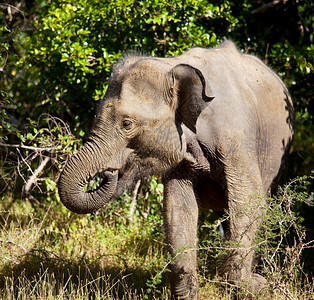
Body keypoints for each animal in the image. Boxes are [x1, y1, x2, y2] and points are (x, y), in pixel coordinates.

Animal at [58, 40, 294, 300]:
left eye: (127, 124)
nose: (109, 173)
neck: (171, 65)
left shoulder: (237, 137)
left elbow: (248, 200)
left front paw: (255, 286)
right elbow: (178, 207)